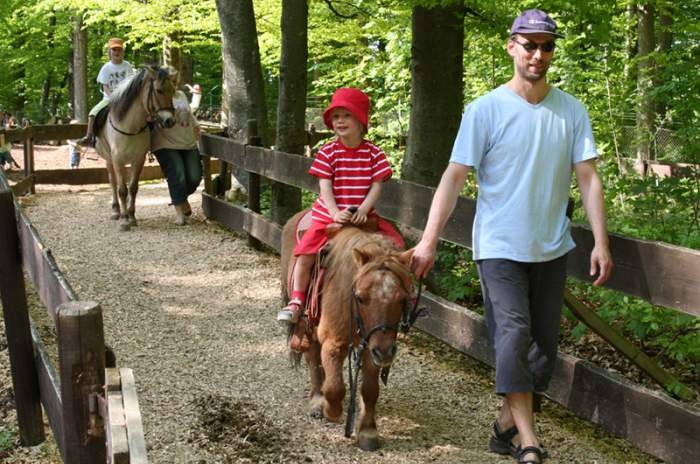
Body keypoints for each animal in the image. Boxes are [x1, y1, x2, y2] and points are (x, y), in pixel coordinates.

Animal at [95, 64, 178, 231]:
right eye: (159, 90)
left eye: (173, 91)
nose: (170, 121)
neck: (130, 127)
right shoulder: (117, 160)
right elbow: (121, 189)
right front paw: (124, 220)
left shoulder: (138, 159)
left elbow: (133, 188)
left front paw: (131, 216)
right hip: (109, 159)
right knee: (113, 182)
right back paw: (116, 211)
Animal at [280, 210, 412, 450]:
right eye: (360, 297)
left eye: (401, 299)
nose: (386, 352)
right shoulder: (333, 343)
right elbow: (335, 387)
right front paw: (330, 410)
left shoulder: (371, 346)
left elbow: (370, 390)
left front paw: (368, 431)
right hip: (307, 326)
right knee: (313, 359)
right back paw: (317, 401)